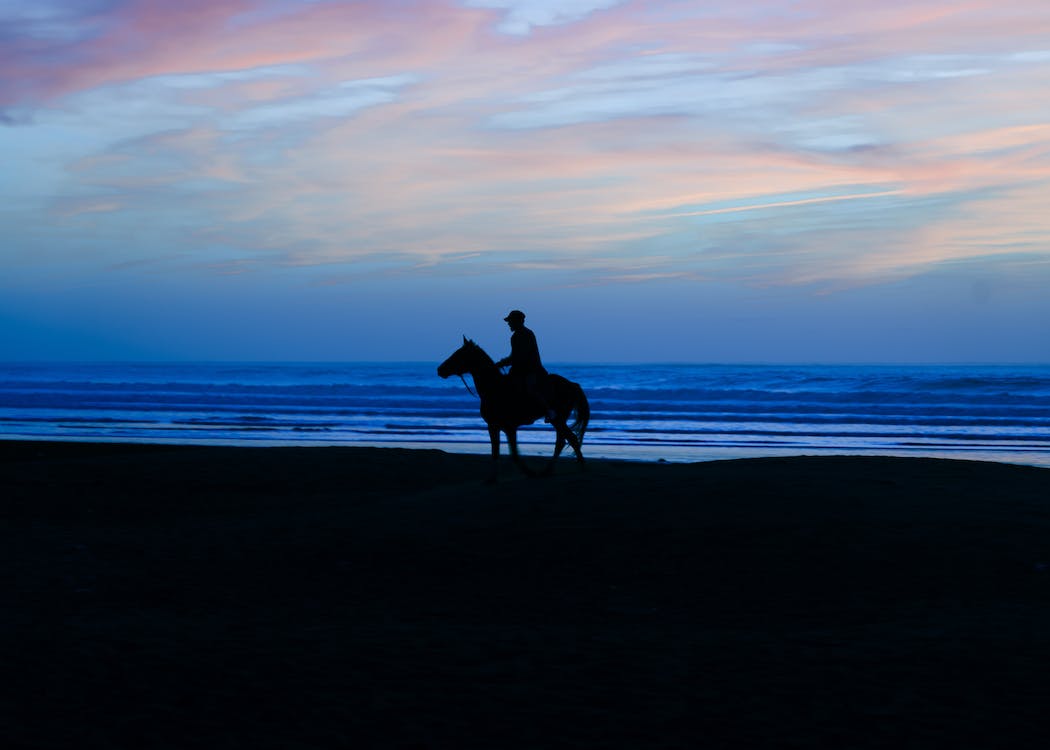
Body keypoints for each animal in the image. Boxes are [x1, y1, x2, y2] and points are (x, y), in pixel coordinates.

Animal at [436, 334, 592, 476]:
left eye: (458, 354)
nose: (440, 369)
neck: (494, 387)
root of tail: (572, 385)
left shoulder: (508, 427)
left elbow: (513, 454)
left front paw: (527, 472)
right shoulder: (495, 426)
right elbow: (497, 452)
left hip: (558, 419)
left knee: (569, 439)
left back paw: (577, 468)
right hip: (559, 420)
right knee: (564, 441)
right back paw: (550, 471)